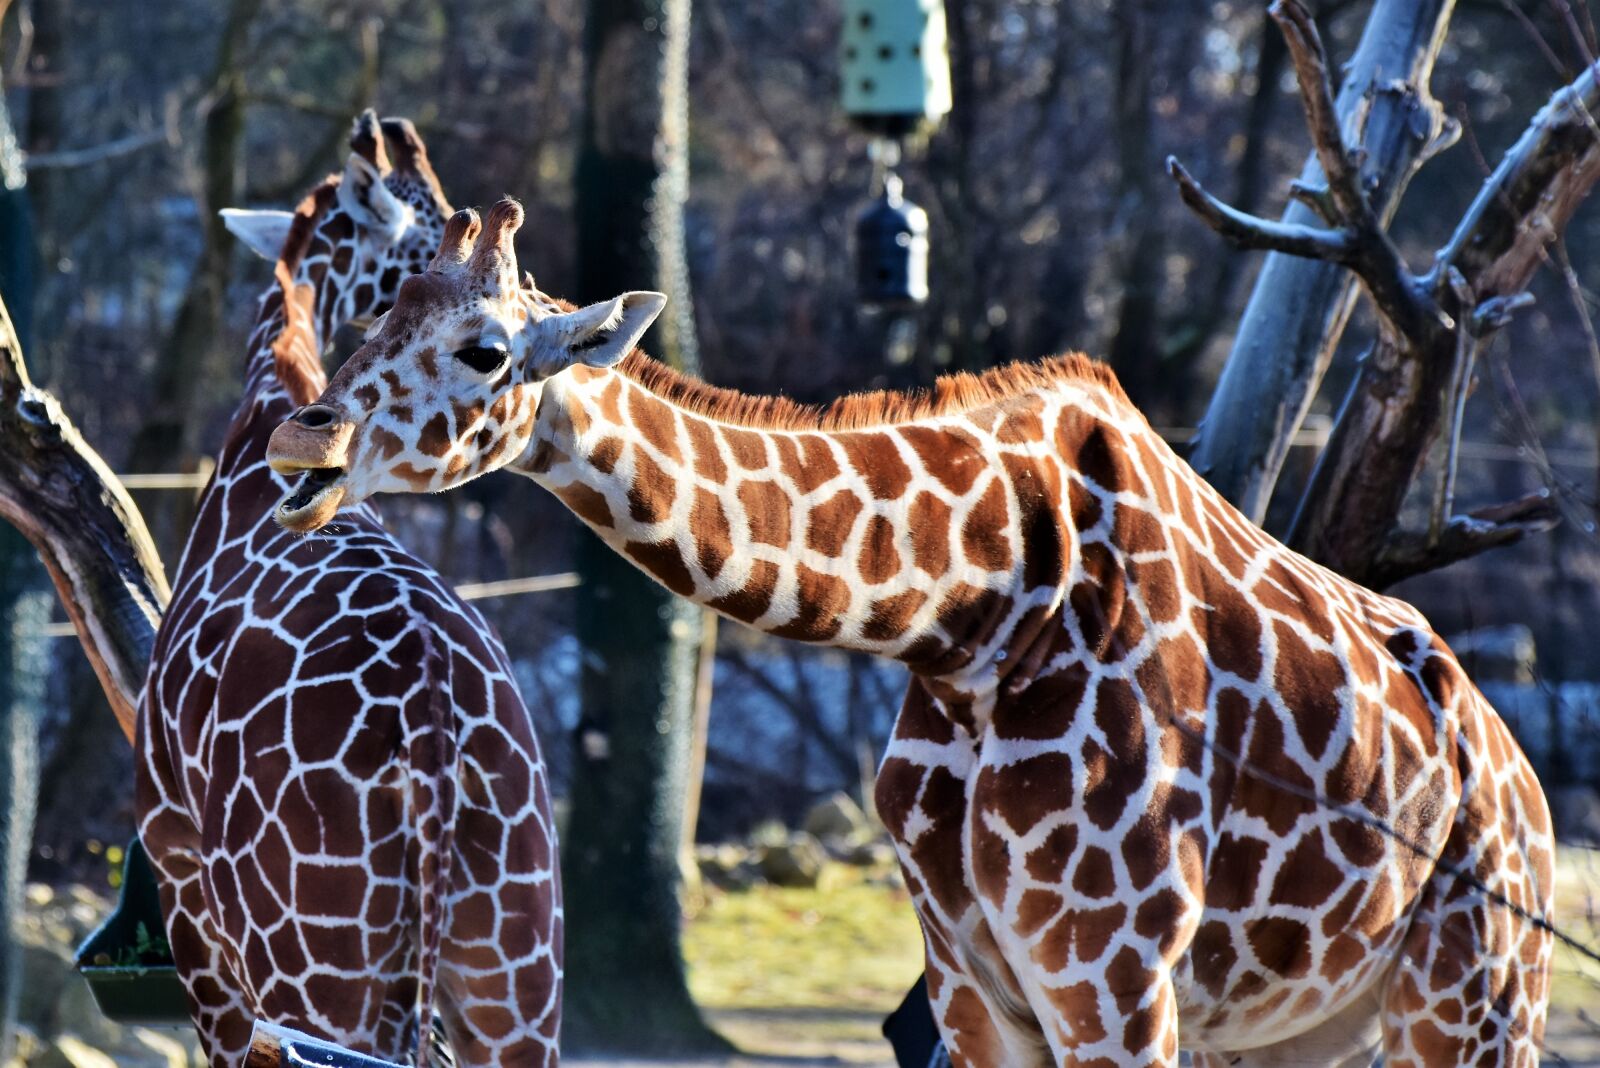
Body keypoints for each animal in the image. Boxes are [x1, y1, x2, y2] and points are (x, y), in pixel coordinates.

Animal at [264, 200, 1556, 1067]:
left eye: (483, 350)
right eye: (372, 313)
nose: (299, 445)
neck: (977, 617)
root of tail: (1520, 783)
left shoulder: (1113, 976)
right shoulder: (974, 982)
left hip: (1475, 1001)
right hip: (1304, 1030)